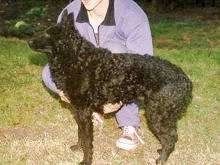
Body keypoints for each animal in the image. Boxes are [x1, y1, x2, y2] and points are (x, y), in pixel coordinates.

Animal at [28, 10, 192, 164]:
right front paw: (78, 147)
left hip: (157, 115)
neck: (77, 58)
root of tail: (185, 80)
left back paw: (161, 159)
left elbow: (87, 140)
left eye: (47, 33)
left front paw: (86, 160)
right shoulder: (78, 110)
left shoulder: (83, 111)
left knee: (171, 138)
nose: (28, 41)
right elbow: (80, 133)